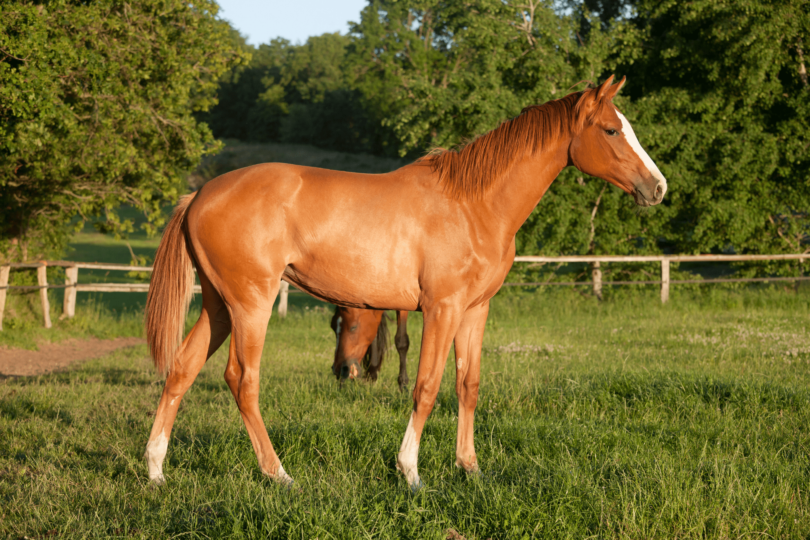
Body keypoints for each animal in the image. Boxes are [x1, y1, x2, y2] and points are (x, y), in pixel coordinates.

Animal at [143, 76, 667, 489]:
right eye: (612, 130)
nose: (657, 188)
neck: (473, 204)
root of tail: (199, 195)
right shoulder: (442, 309)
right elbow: (427, 386)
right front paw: (410, 472)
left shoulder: (475, 311)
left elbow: (468, 385)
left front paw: (470, 468)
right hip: (251, 304)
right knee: (242, 380)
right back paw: (278, 474)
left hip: (218, 306)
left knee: (181, 370)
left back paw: (155, 471)